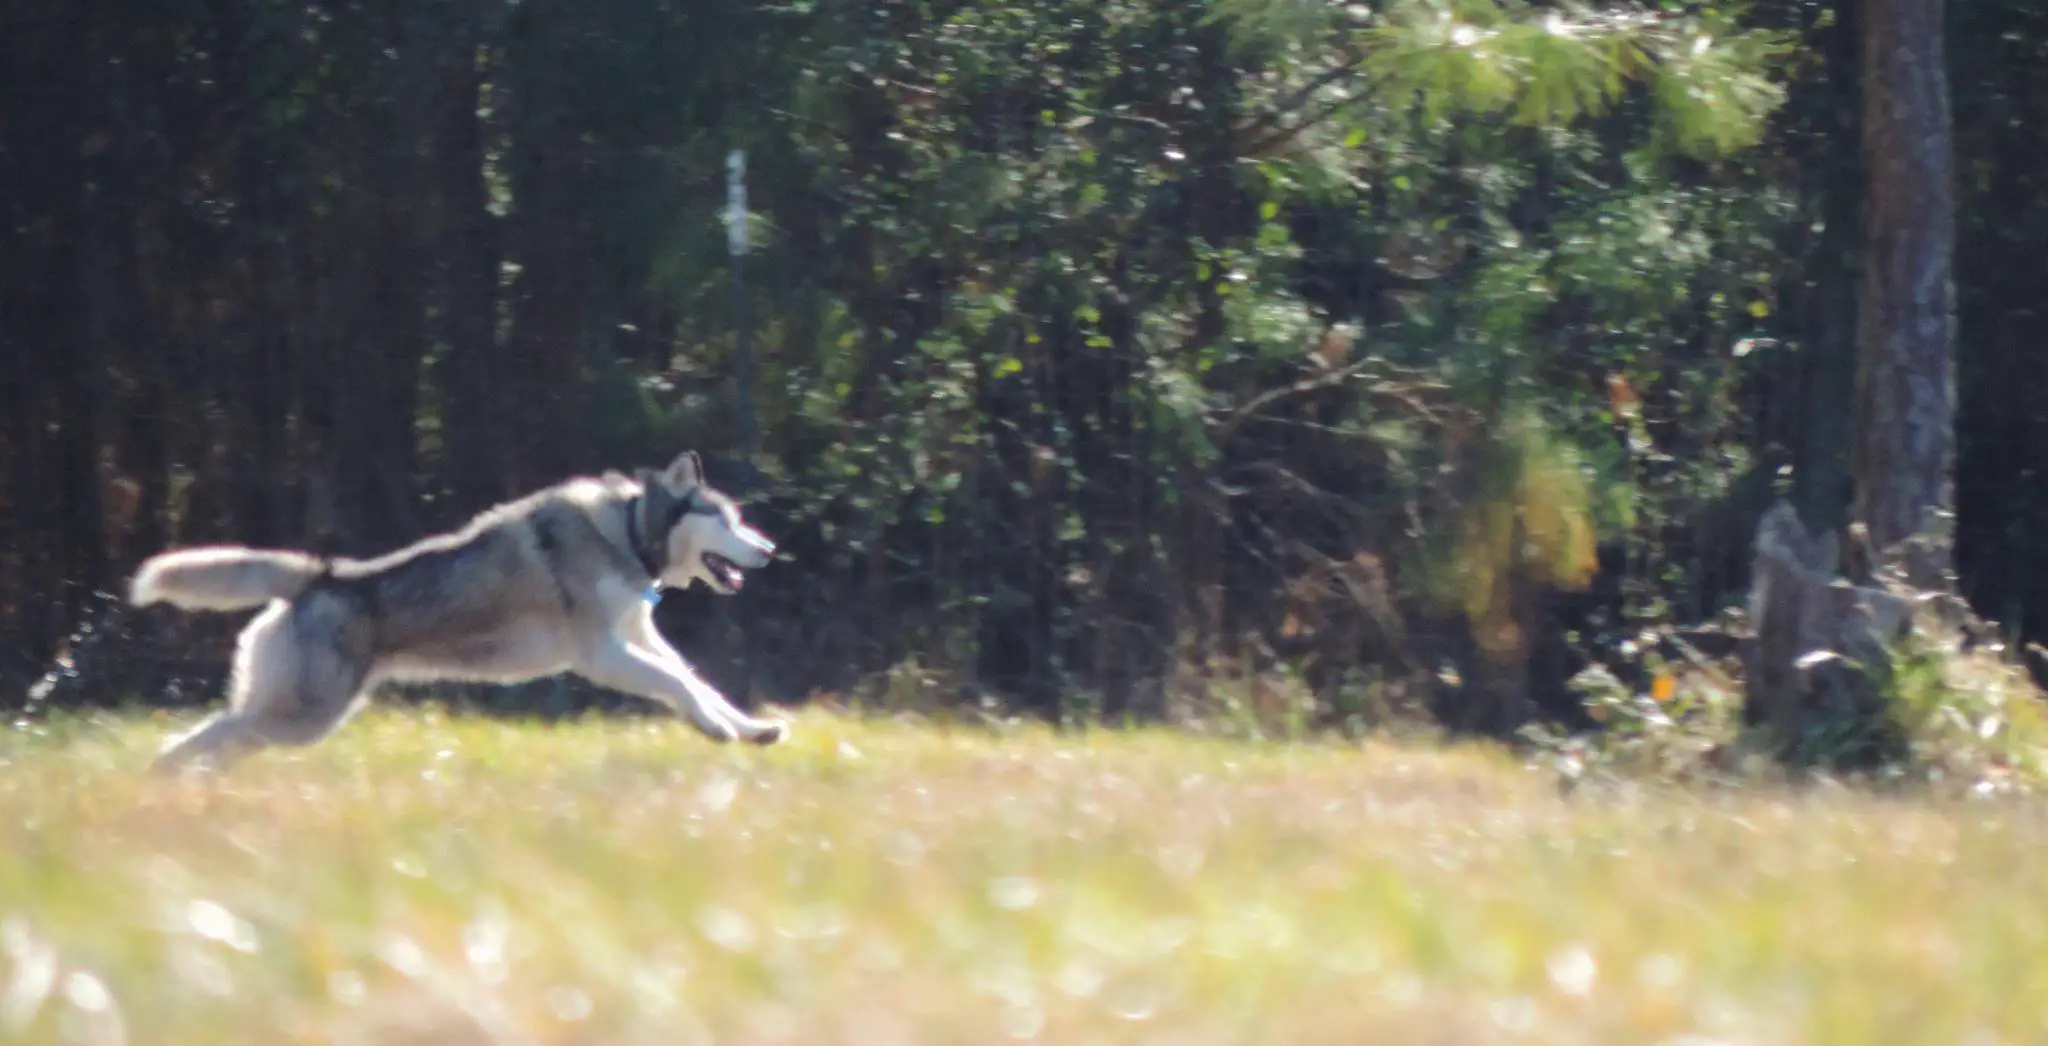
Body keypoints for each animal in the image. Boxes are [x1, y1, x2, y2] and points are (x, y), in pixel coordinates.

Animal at [125, 446, 782, 773]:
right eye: (724, 520)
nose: (770, 549)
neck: (627, 532)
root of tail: (322, 575)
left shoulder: (638, 640)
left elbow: (695, 680)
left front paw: (750, 727)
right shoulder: (601, 653)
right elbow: (678, 684)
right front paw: (718, 728)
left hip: (291, 715)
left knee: (218, 740)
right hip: (302, 716)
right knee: (206, 737)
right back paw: (165, 783)